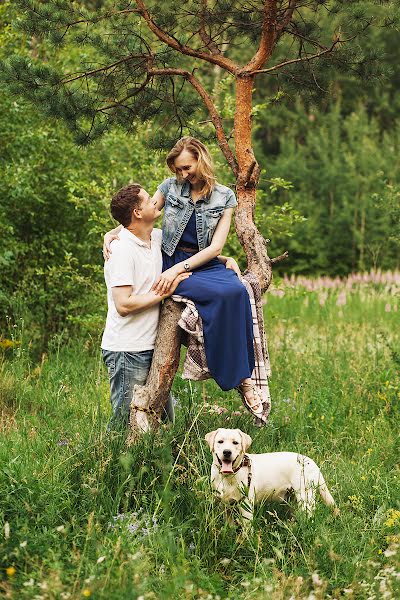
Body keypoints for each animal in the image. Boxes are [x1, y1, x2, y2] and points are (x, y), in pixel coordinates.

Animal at [205, 426, 336, 524]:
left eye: (235, 443)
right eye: (220, 442)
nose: (227, 452)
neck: (228, 477)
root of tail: (312, 462)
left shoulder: (246, 507)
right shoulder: (225, 505)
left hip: (305, 497)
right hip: (292, 499)